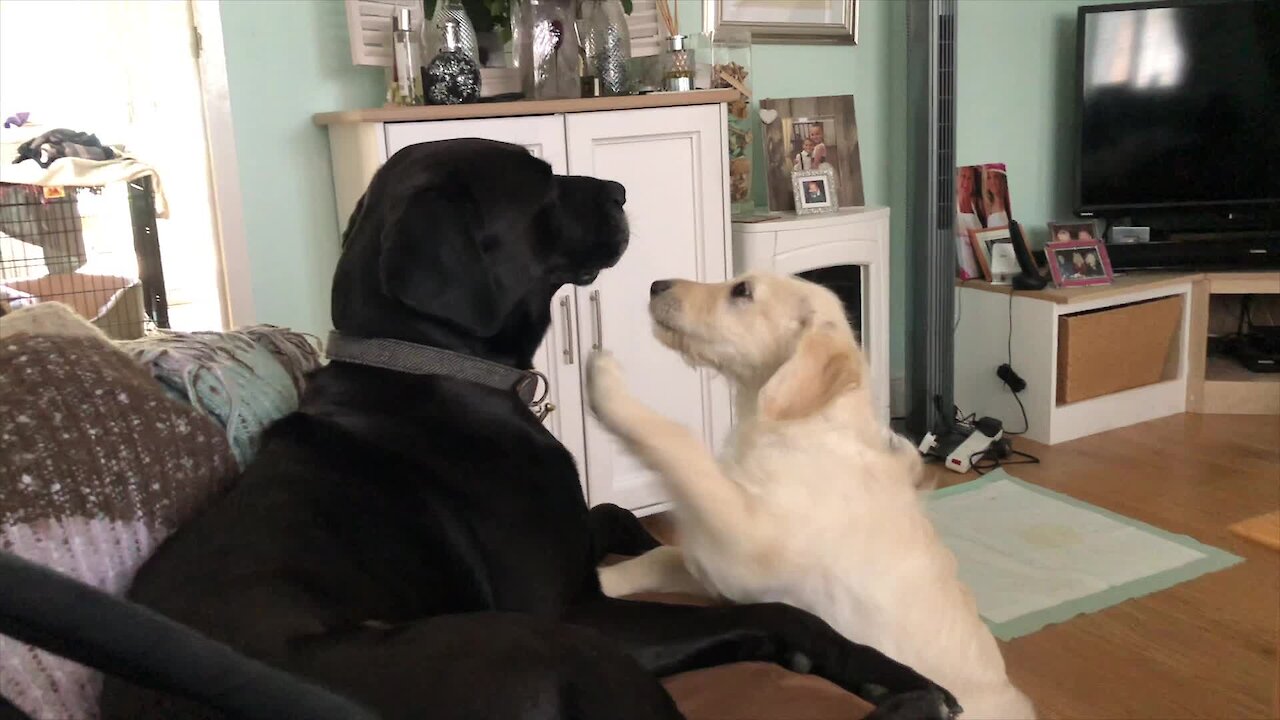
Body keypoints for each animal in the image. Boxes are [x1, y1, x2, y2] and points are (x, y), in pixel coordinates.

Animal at [586, 270, 1034, 717]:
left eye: (742, 291)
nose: (655, 285)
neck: (805, 424)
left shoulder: (741, 546)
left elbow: (679, 446)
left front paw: (605, 383)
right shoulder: (716, 569)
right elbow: (658, 555)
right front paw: (600, 581)